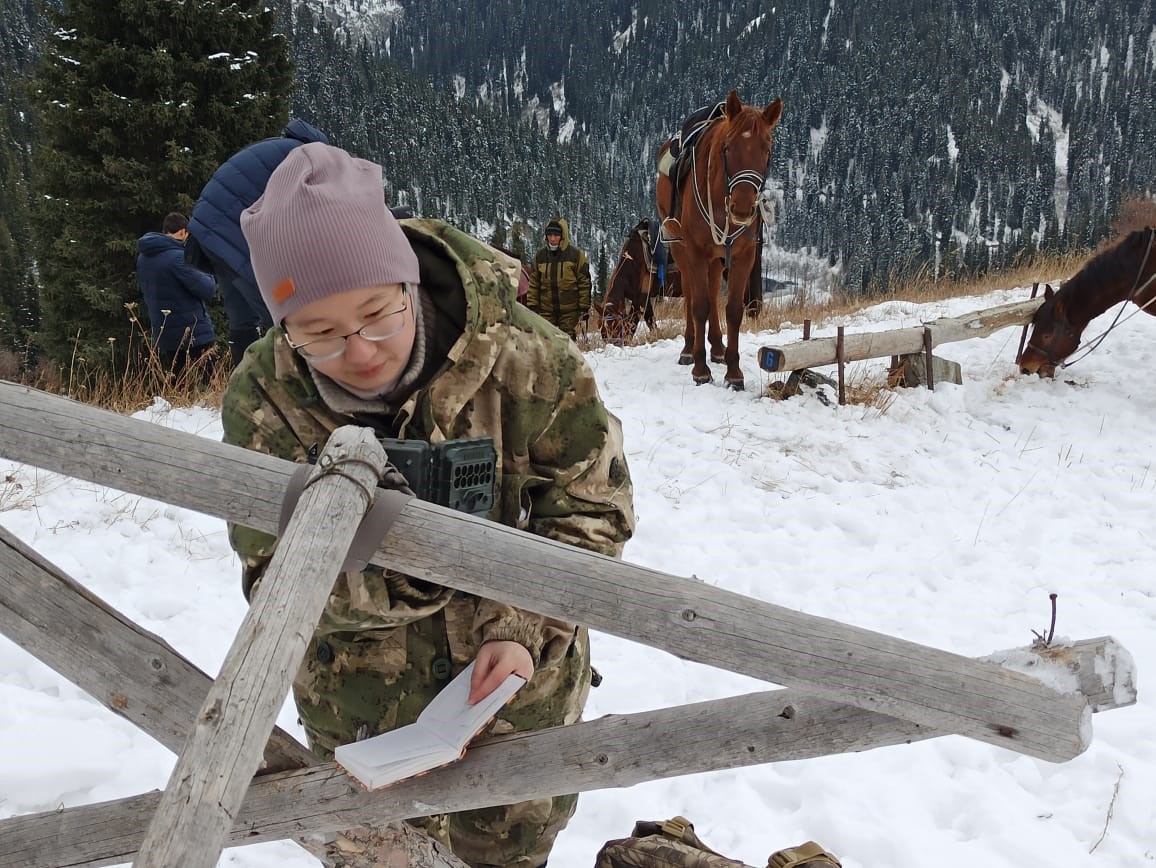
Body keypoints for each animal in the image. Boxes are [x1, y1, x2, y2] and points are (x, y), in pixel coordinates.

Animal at [656, 90, 781, 388]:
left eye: (767, 150)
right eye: (728, 148)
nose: (743, 208)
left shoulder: (744, 255)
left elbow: (733, 310)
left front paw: (734, 372)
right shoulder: (695, 251)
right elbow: (699, 305)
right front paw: (700, 369)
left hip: (716, 257)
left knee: (713, 290)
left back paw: (717, 347)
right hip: (680, 247)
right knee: (692, 292)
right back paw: (689, 348)